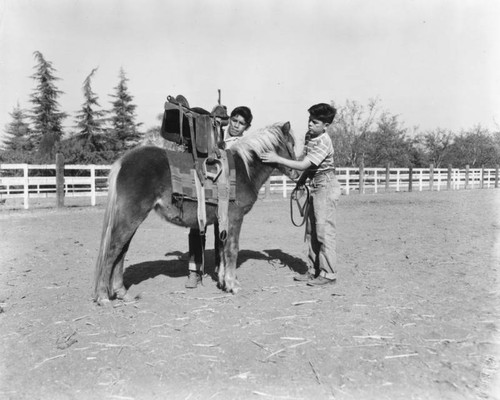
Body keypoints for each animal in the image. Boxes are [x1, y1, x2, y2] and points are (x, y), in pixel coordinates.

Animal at [93, 121, 296, 304]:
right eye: (291, 144)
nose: (295, 172)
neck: (243, 170)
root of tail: (123, 161)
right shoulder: (234, 218)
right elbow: (232, 249)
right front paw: (233, 285)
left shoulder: (222, 221)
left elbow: (222, 250)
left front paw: (223, 281)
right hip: (131, 216)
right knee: (113, 250)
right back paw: (103, 296)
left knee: (122, 251)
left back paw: (122, 292)